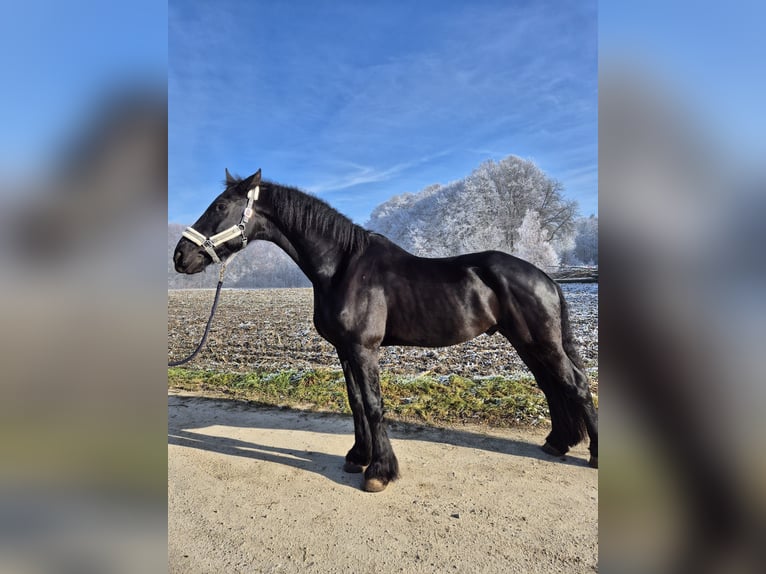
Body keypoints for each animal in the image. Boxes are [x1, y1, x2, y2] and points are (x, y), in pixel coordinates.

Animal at [174, 169, 600, 492]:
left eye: (220, 206)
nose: (180, 256)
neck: (342, 265)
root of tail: (544, 275)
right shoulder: (345, 349)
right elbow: (356, 402)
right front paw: (357, 457)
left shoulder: (364, 348)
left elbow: (374, 405)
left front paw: (379, 472)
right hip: (527, 342)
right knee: (553, 387)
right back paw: (557, 443)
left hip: (542, 342)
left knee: (576, 386)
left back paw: (594, 454)